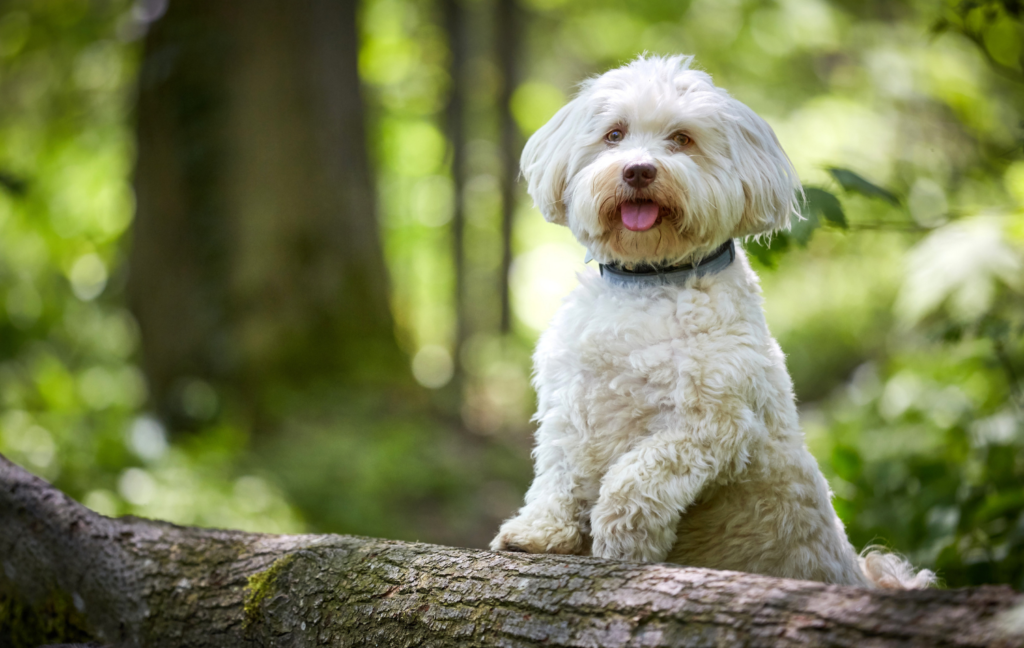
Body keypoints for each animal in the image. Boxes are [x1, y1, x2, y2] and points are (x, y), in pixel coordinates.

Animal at [489, 55, 937, 589]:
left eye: (682, 139)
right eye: (614, 134)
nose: (638, 170)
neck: (652, 280)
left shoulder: (712, 424)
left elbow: (637, 474)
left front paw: (621, 540)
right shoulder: (573, 404)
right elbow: (559, 473)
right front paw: (538, 532)